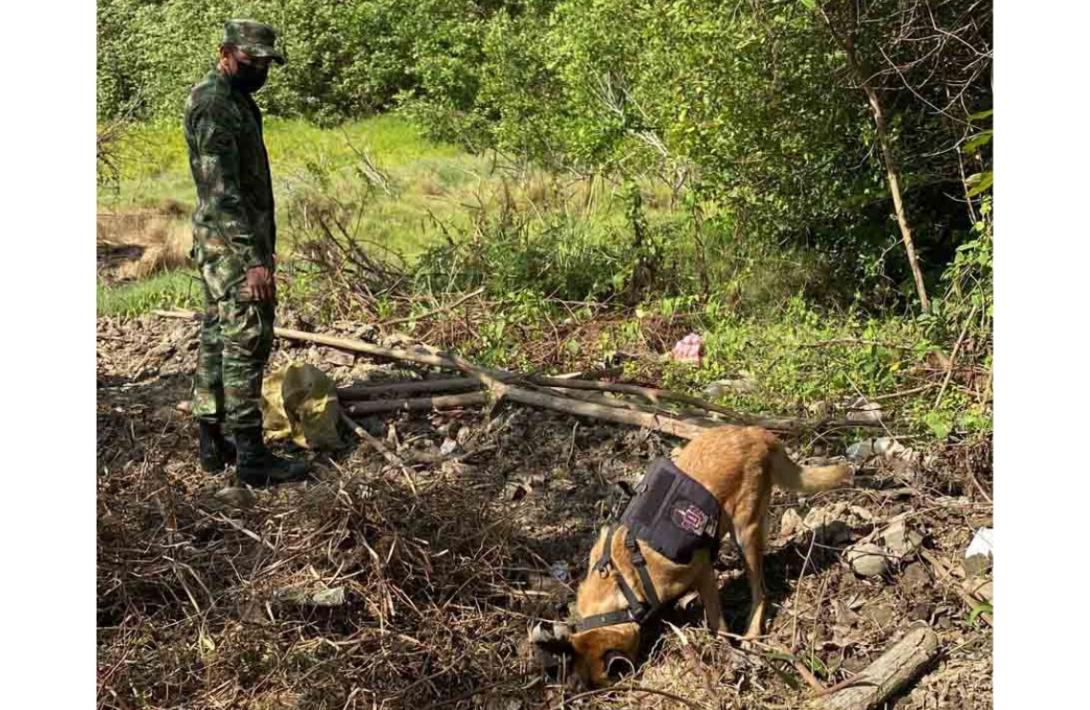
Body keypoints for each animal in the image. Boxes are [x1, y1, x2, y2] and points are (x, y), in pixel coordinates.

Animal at [536, 427, 850, 689]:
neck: (620, 580)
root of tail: (757, 433)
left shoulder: (701, 571)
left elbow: (716, 620)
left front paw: (726, 649)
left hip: (745, 533)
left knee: (760, 591)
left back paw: (750, 634)